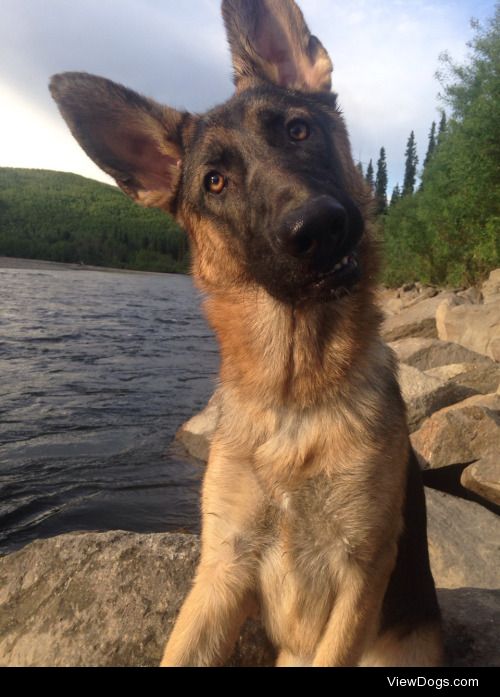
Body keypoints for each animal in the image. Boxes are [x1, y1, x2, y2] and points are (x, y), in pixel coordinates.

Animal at [50, 0, 442, 664]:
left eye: (298, 130)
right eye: (214, 182)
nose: (317, 227)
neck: (295, 391)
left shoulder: (362, 569)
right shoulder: (222, 570)